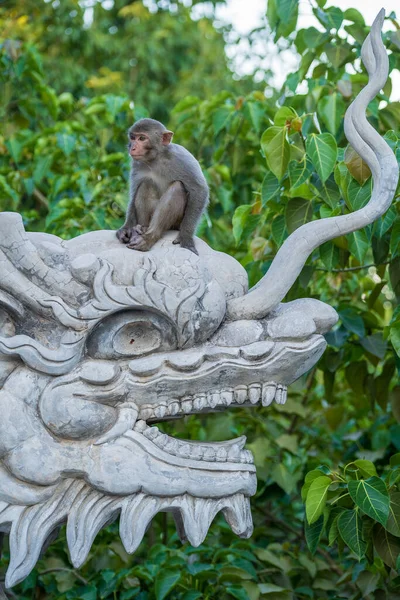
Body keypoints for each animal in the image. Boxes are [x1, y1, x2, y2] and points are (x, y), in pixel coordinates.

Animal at [115, 118, 209, 254]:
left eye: (142, 138)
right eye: (133, 137)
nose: (132, 147)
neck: (156, 159)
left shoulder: (182, 158)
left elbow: (199, 190)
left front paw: (186, 237)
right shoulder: (136, 164)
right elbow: (134, 193)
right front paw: (126, 229)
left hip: (177, 223)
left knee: (177, 187)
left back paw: (149, 237)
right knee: (146, 184)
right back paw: (140, 230)